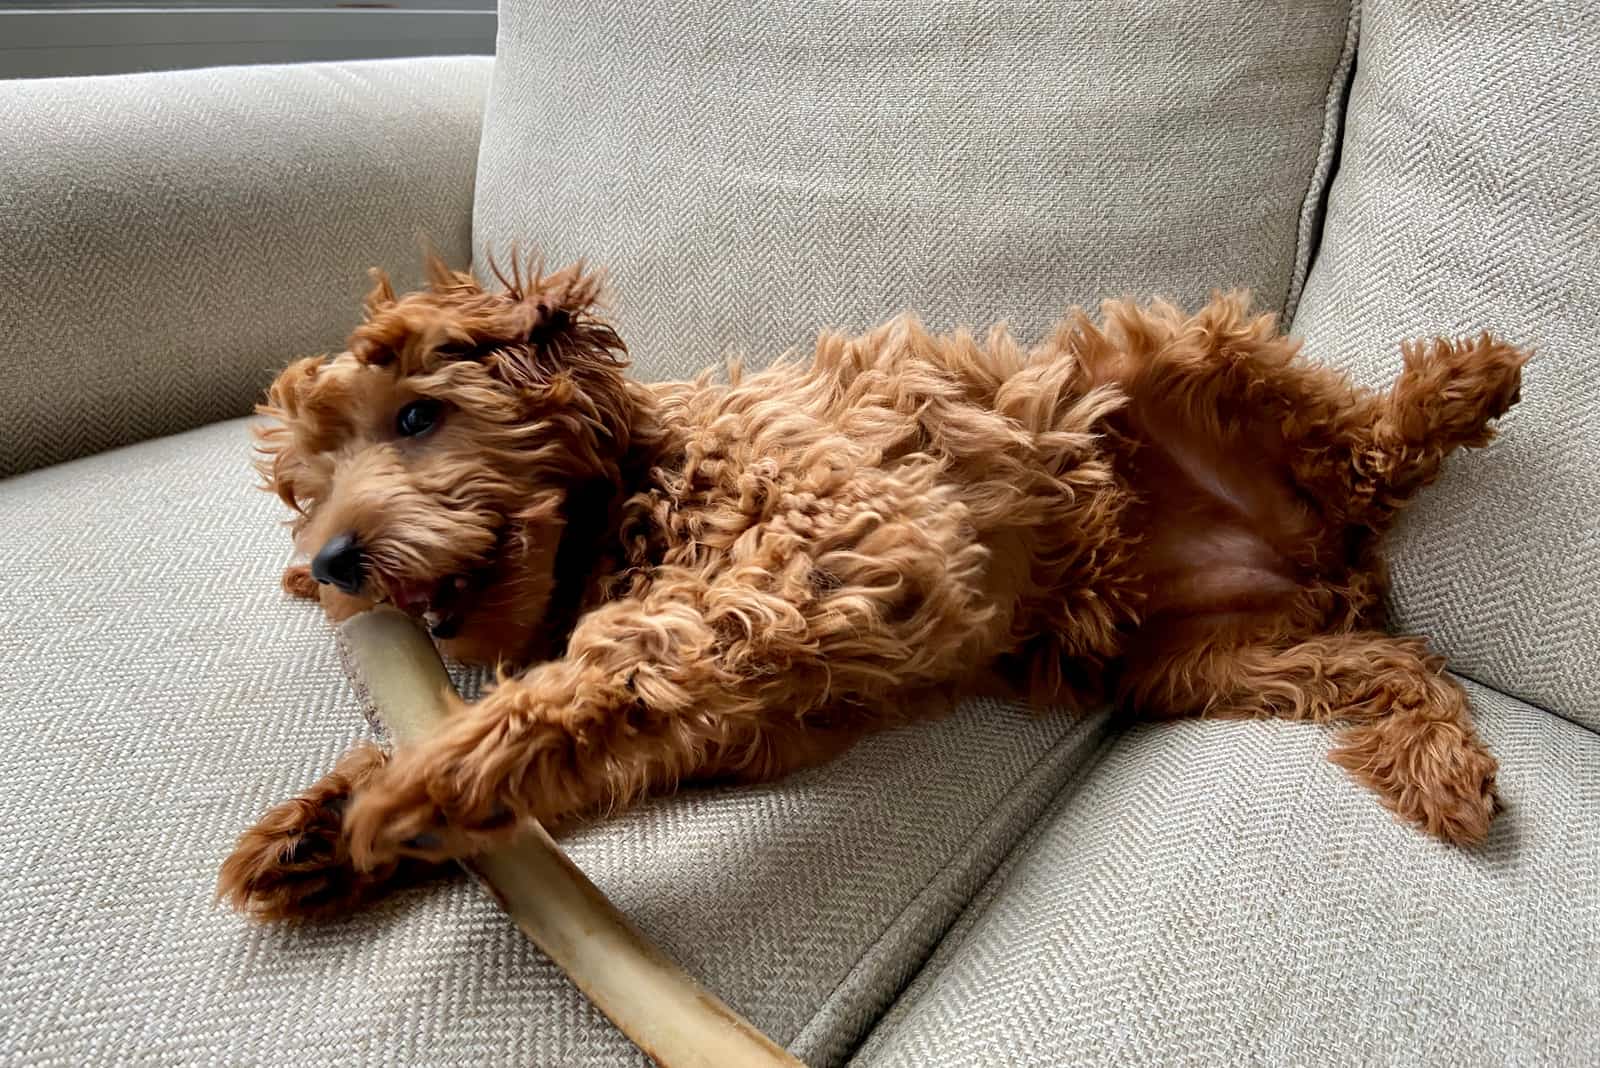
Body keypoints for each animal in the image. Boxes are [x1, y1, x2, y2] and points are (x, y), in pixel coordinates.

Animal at [219, 255, 1529, 920]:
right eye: (303, 488)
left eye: (418, 417)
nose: (330, 565)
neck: (631, 499)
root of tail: (1324, 556)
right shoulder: (742, 719)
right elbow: (589, 747)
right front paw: (329, 829)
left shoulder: (822, 550)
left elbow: (608, 667)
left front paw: (409, 784)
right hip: (1197, 660)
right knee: (1390, 663)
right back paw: (1437, 758)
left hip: (1162, 352)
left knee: (1362, 450)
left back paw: (1457, 387)